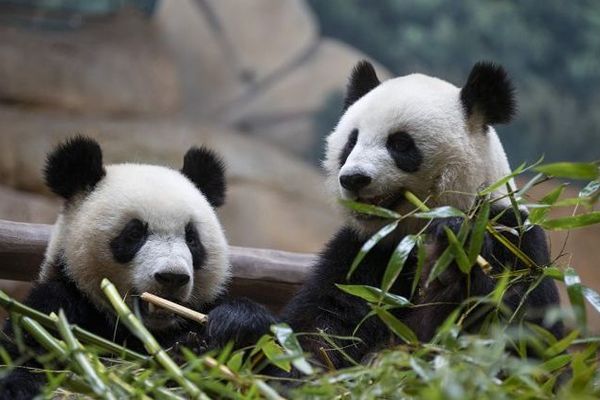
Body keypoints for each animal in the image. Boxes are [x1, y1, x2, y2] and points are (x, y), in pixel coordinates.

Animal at [0, 137, 276, 396]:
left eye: (191, 238)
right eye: (134, 234)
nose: (172, 277)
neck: (147, 330)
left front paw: (234, 325)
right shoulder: (60, 303)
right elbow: (26, 348)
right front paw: (18, 385)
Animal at [284, 61, 564, 370]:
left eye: (400, 143)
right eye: (351, 142)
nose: (354, 178)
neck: (412, 234)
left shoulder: (513, 237)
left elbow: (516, 334)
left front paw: (455, 256)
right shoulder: (363, 252)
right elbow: (324, 325)